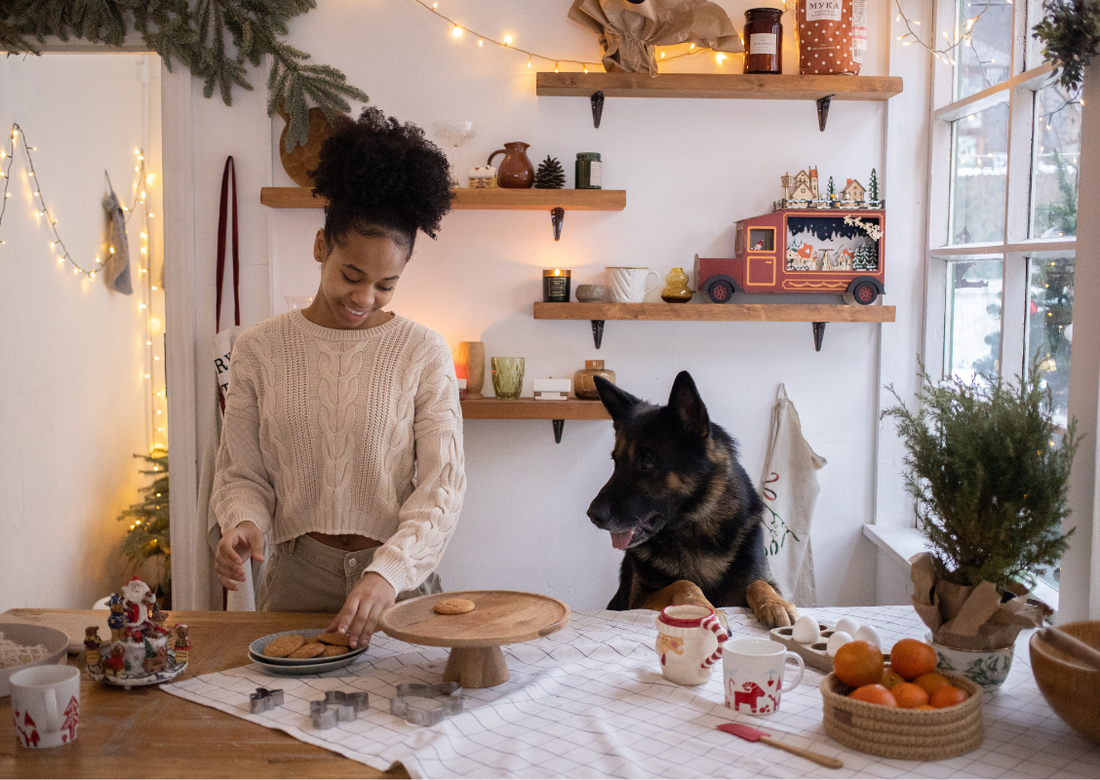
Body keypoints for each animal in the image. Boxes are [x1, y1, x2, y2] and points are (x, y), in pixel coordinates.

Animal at [589, 369, 796, 624]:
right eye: (616, 462)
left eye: (647, 463)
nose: (592, 515)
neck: (697, 528)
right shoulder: (637, 600)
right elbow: (683, 583)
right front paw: (701, 608)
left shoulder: (756, 580)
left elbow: (758, 583)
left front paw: (776, 603)